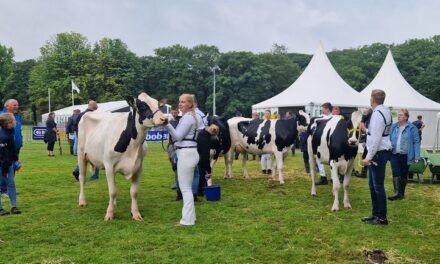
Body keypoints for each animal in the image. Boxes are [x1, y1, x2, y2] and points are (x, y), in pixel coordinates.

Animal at [76, 93, 166, 221]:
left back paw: (113, 204)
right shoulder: (109, 165)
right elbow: (112, 191)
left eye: (158, 104)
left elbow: (134, 192)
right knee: (82, 178)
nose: (164, 119)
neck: (133, 146)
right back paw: (82, 201)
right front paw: (109, 214)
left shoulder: (139, 167)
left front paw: (135, 214)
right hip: (81, 154)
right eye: (142, 106)